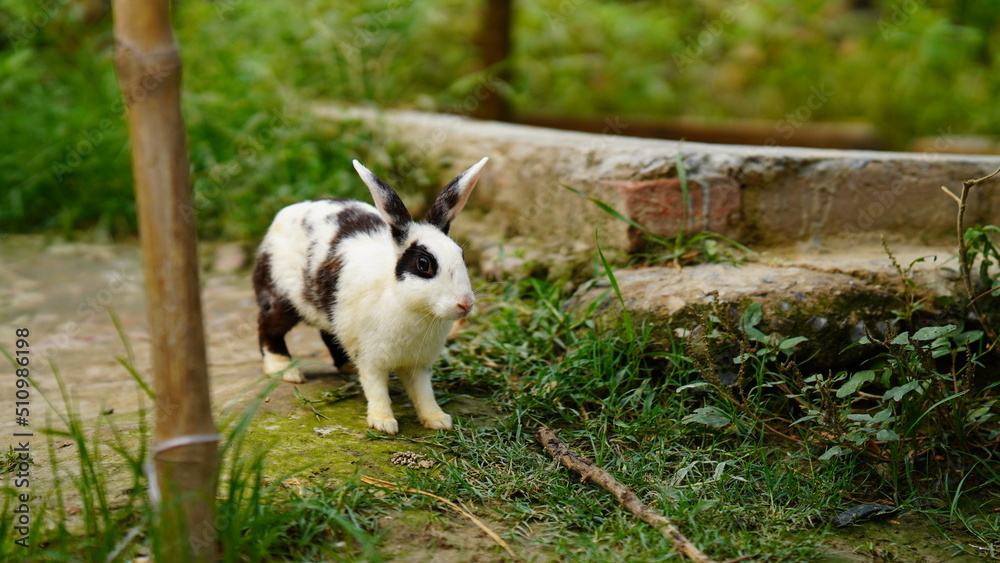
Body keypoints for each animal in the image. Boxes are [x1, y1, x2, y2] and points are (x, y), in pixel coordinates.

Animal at [252, 157, 488, 434]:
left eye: (461, 255)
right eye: (423, 264)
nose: (465, 304)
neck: (408, 305)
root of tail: (286, 213)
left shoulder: (418, 365)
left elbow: (423, 392)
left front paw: (437, 420)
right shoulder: (371, 359)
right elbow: (376, 389)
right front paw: (383, 422)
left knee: (328, 335)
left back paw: (346, 367)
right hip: (282, 298)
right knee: (268, 328)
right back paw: (284, 369)